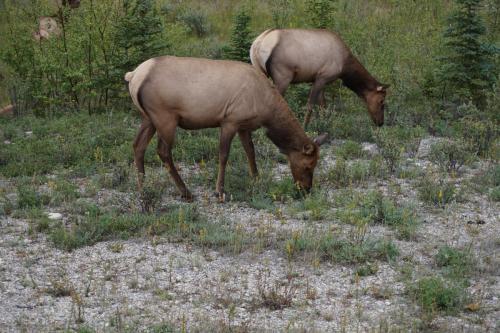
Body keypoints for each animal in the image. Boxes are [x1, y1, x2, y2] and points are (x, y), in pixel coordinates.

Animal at [125, 56, 328, 201]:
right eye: (308, 165)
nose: (306, 189)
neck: (266, 110)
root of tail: (134, 76)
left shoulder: (244, 125)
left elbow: (250, 151)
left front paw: (256, 179)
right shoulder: (230, 120)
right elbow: (223, 155)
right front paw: (219, 191)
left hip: (149, 118)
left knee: (138, 145)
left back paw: (143, 190)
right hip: (165, 117)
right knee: (163, 151)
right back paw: (185, 192)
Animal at [252, 28, 388, 127]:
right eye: (382, 101)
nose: (380, 123)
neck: (345, 67)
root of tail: (258, 44)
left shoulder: (319, 80)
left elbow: (323, 105)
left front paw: (324, 124)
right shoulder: (322, 77)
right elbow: (311, 105)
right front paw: (305, 127)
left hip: (260, 71)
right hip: (283, 77)